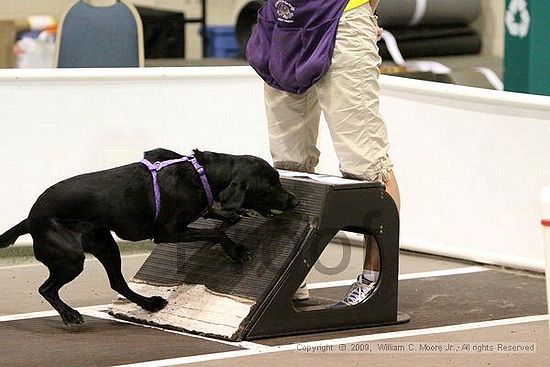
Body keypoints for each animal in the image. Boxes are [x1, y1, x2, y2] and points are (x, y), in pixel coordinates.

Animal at [0, 149, 300, 324]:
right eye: (270, 185)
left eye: (278, 179)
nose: (295, 201)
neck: (201, 174)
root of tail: (31, 218)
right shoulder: (167, 233)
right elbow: (214, 232)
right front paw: (236, 250)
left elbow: (213, 215)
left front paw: (231, 215)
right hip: (72, 258)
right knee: (47, 288)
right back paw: (70, 315)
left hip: (105, 244)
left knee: (118, 283)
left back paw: (150, 303)